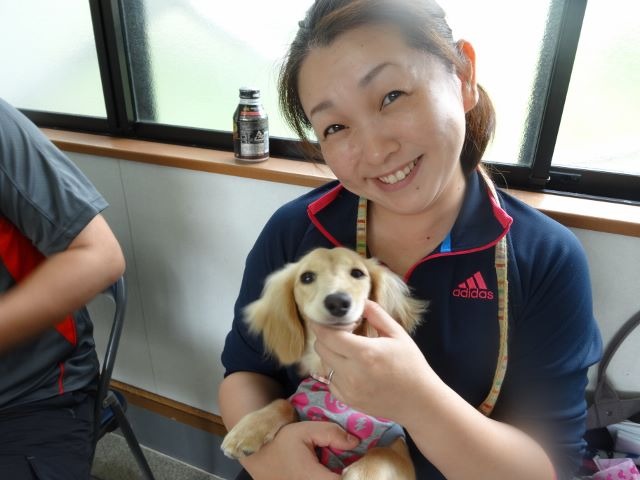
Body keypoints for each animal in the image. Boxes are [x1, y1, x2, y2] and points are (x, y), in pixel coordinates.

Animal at [222, 247, 426, 479]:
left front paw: (362, 474)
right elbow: (284, 403)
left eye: (357, 273)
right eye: (306, 277)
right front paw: (247, 430)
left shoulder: (399, 448)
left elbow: (383, 453)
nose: (337, 302)